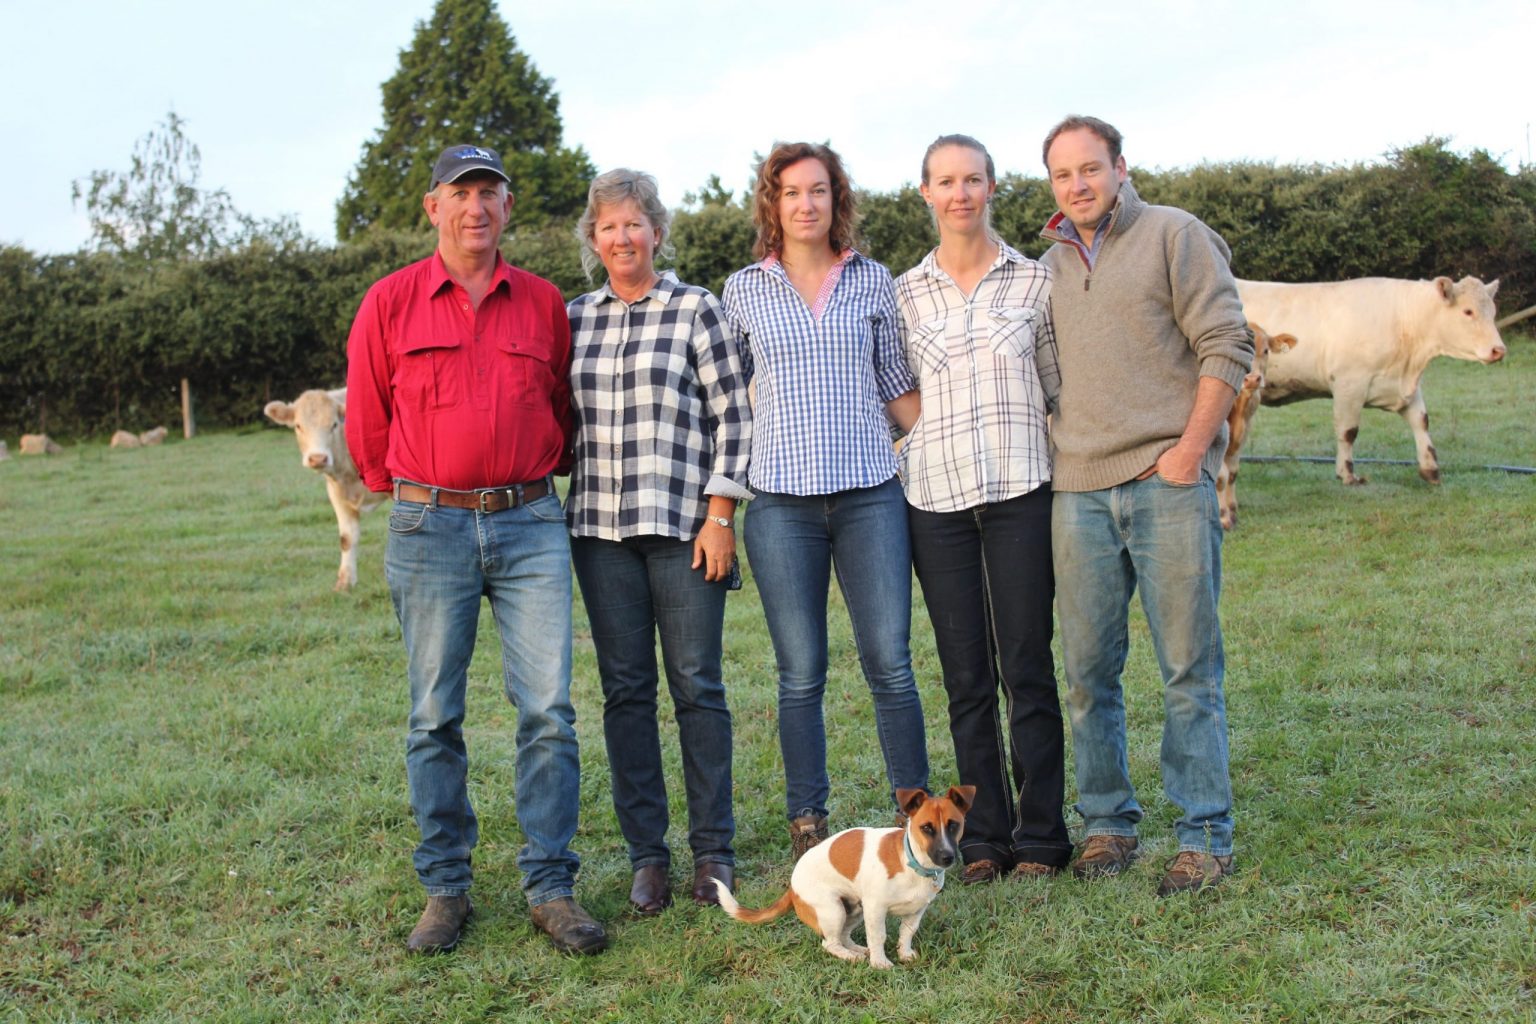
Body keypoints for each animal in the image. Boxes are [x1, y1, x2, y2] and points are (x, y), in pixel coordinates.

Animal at [264, 386, 384, 592]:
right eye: (298, 426)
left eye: (334, 424)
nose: (318, 458)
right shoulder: (337, 492)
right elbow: (347, 538)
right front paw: (344, 583)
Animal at [709, 792, 970, 976]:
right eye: (926, 828)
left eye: (954, 825)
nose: (948, 857)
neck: (912, 862)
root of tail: (792, 889)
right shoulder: (875, 909)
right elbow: (878, 936)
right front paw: (880, 963)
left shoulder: (916, 910)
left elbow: (907, 933)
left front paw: (904, 954)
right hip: (833, 910)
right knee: (829, 943)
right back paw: (853, 957)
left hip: (853, 909)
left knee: (843, 936)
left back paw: (857, 950)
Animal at [1234, 274, 1499, 488]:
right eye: (1468, 311)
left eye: (1493, 311)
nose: (1499, 349)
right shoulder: (1349, 384)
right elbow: (1348, 431)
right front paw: (1348, 475)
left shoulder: (1405, 388)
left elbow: (1421, 422)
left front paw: (1431, 470)